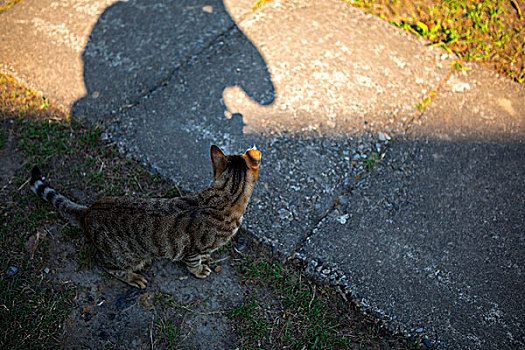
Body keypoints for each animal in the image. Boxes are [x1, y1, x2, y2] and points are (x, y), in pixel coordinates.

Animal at [30, 146, 260, 290]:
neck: (225, 196)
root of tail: (89, 210)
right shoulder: (193, 250)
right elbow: (193, 263)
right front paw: (200, 269)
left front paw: (208, 258)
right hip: (125, 256)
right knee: (106, 266)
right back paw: (133, 278)